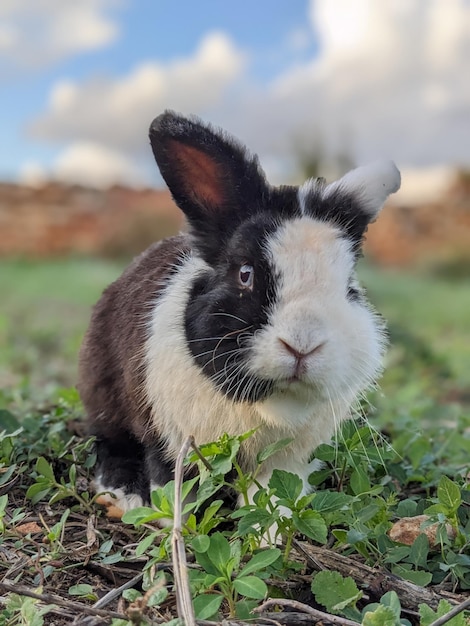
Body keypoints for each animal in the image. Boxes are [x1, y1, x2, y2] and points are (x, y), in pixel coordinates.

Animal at [78, 109, 400, 516]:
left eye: (349, 286)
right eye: (245, 274)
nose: (303, 346)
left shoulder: (288, 459)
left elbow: (278, 494)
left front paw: (275, 528)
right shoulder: (170, 439)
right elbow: (176, 485)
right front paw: (176, 521)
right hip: (103, 392)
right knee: (109, 441)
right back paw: (123, 493)